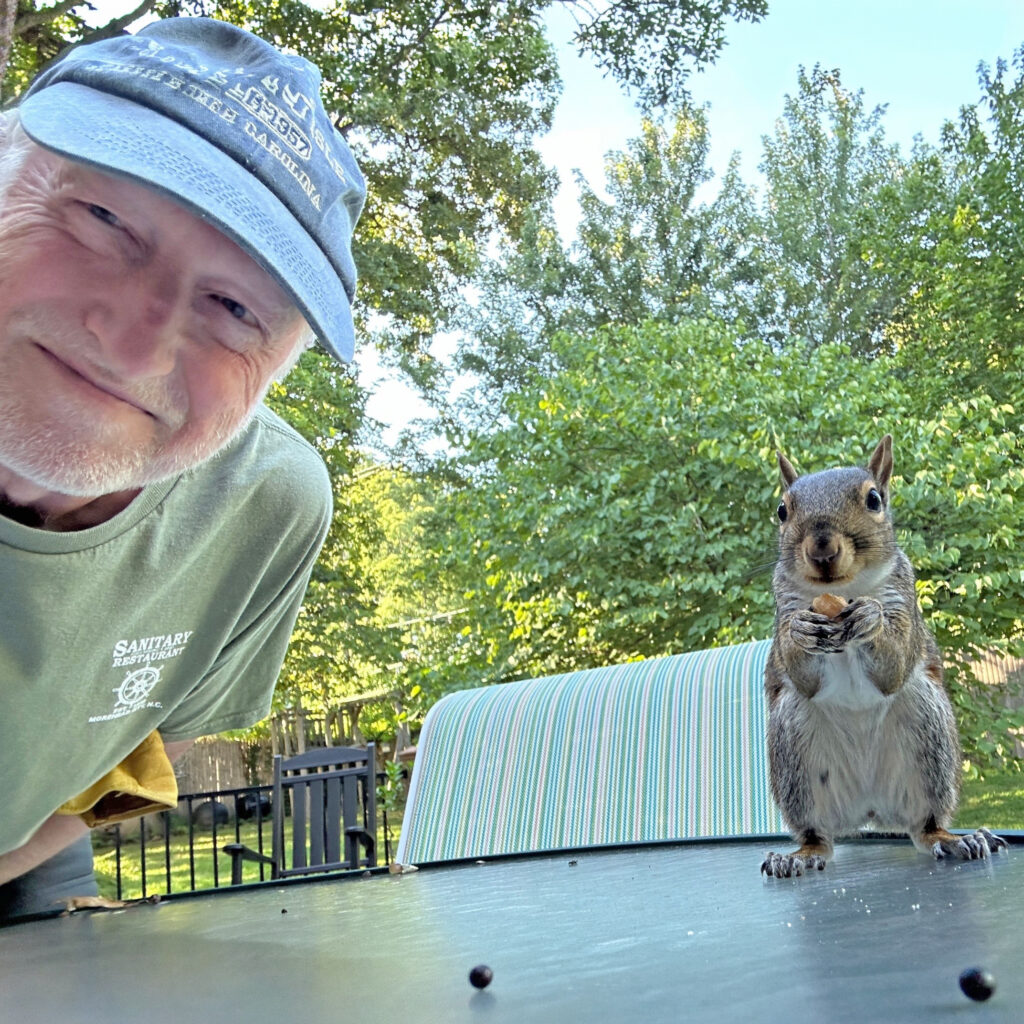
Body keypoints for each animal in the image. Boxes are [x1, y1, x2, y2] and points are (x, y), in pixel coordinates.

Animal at [761, 435, 1007, 877]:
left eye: (874, 499)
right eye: (782, 510)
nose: (822, 549)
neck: (844, 591)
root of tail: (869, 809)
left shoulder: (902, 599)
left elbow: (892, 666)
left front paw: (870, 618)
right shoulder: (784, 607)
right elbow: (802, 675)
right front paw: (801, 632)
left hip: (927, 734)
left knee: (925, 825)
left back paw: (953, 839)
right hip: (795, 756)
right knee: (817, 835)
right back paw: (800, 856)